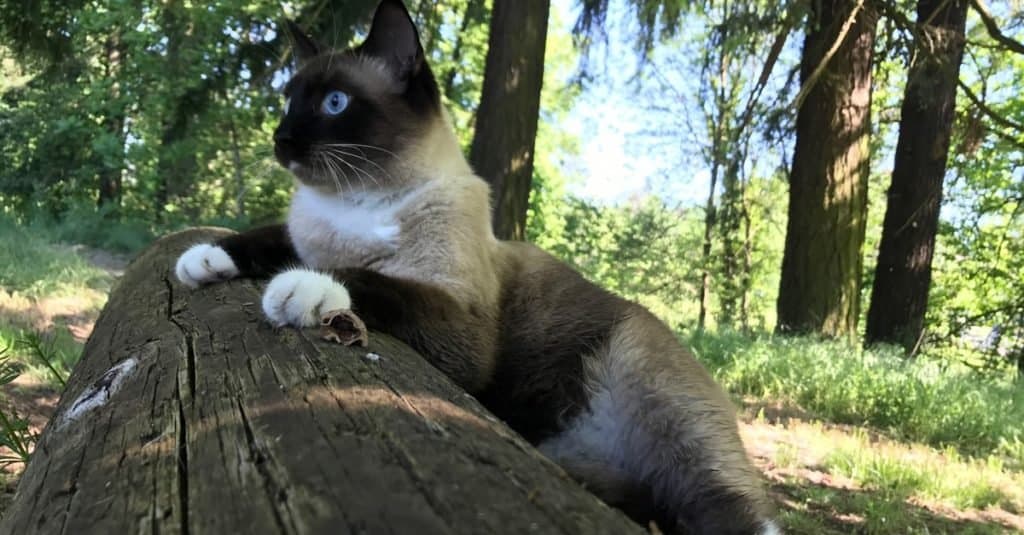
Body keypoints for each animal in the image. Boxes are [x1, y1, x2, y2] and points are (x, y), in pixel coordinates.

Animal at [176, 2, 778, 528]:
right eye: (288, 101)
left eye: (335, 104)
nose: (280, 139)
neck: (355, 206)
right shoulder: (304, 236)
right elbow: (267, 237)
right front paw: (203, 260)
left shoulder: (460, 322)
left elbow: (371, 280)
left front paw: (301, 290)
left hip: (647, 384)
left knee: (732, 510)